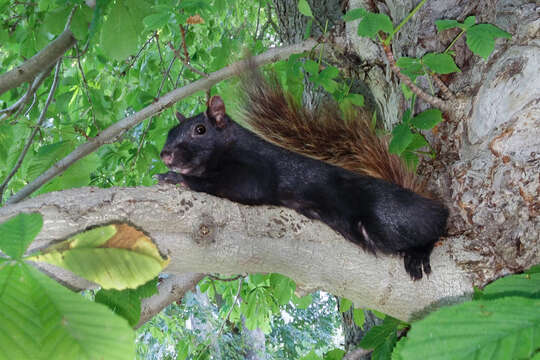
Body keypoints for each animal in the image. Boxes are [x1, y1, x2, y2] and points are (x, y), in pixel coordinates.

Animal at [157, 71, 448, 278]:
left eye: (200, 130)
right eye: (170, 132)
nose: (165, 154)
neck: (230, 148)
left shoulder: (256, 171)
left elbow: (229, 185)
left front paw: (178, 179)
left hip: (388, 219)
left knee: (436, 225)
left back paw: (419, 253)